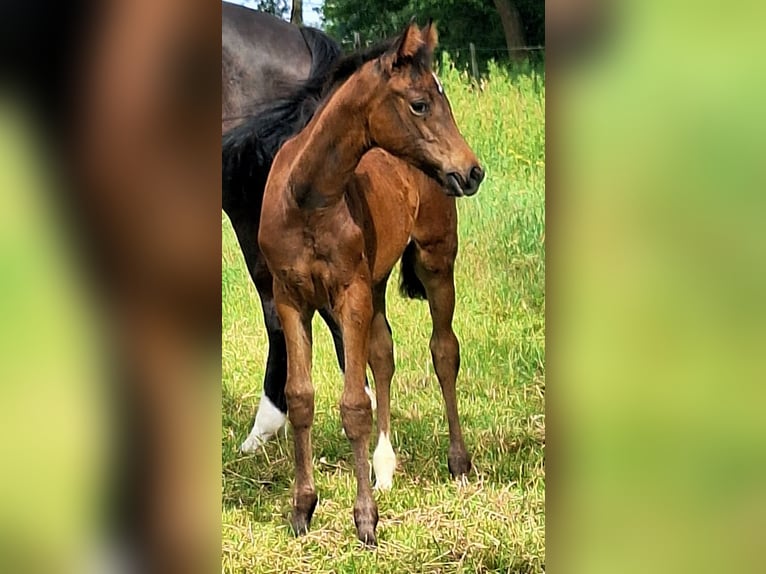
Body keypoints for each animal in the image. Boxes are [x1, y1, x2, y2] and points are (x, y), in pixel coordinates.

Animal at [256, 20, 484, 545]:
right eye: (420, 103)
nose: (472, 171)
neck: (307, 199)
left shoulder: (350, 294)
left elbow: (353, 404)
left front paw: (364, 520)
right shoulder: (291, 298)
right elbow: (301, 398)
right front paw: (302, 509)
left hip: (436, 260)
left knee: (445, 351)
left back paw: (459, 463)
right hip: (377, 281)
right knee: (383, 353)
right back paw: (384, 468)